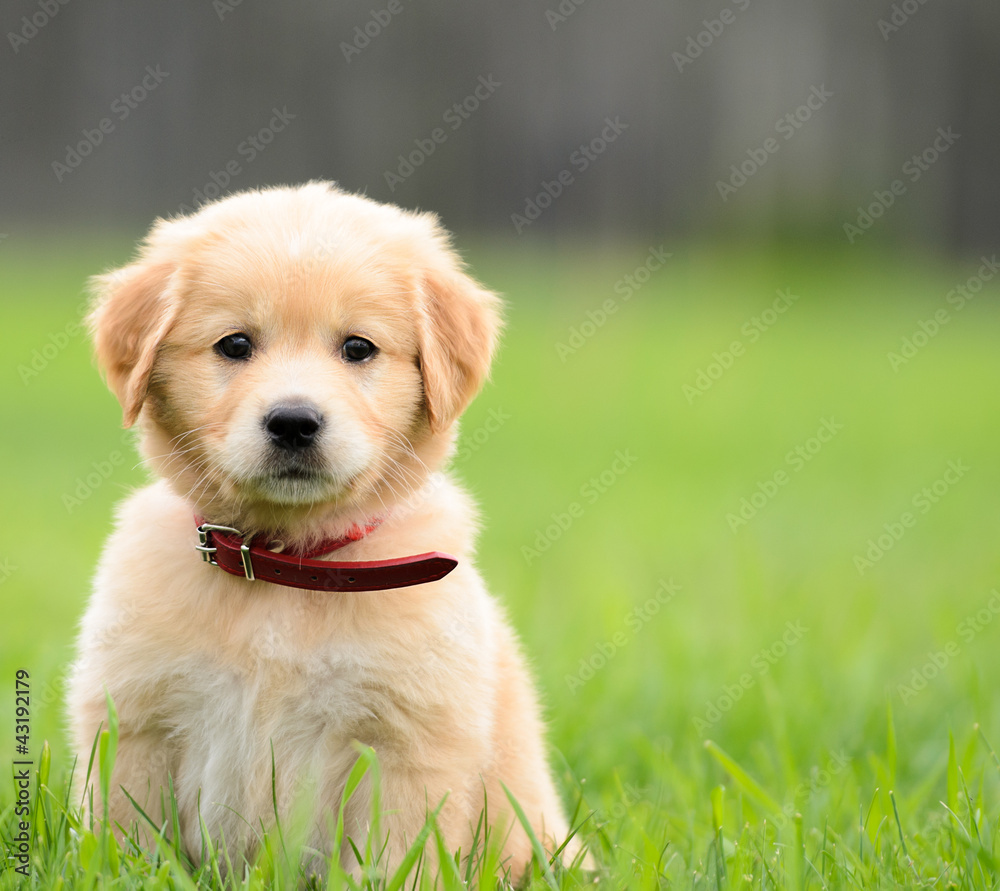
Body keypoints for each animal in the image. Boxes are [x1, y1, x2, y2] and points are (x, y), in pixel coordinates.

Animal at [68, 183, 572, 880]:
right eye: (234, 345)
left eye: (358, 348)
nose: (293, 422)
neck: (282, 563)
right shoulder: (135, 724)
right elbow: (128, 845)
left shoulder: (406, 745)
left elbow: (394, 865)